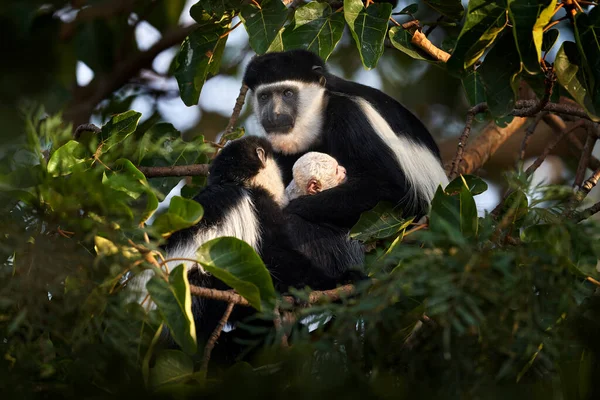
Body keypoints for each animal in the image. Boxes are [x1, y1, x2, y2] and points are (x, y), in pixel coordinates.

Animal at [241, 50, 448, 228]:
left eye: (287, 93)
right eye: (264, 97)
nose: (274, 115)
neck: (322, 107)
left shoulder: (349, 113)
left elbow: (391, 186)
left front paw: (295, 207)